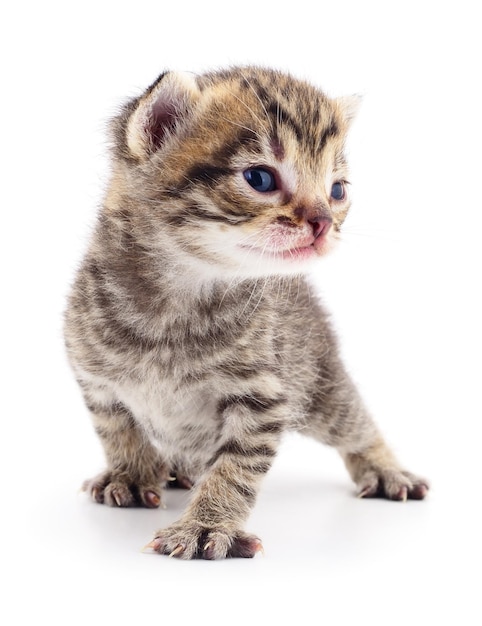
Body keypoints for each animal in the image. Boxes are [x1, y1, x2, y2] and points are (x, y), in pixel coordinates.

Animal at [65, 66, 430, 560]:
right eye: (259, 178)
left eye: (336, 190)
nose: (323, 222)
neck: (176, 298)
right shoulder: (94, 379)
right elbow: (116, 430)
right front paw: (132, 474)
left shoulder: (262, 397)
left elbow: (236, 468)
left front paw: (206, 525)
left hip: (323, 387)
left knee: (357, 423)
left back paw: (386, 468)